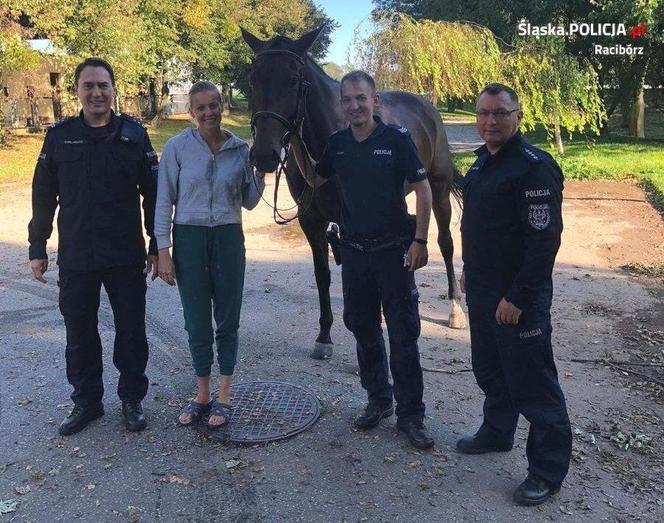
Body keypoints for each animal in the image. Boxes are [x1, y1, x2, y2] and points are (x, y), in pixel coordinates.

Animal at [241, 25, 464, 360]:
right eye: (253, 78)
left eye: (293, 80)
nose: (264, 155)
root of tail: (426, 107)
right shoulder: (311, 220)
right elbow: (323, 274)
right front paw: (324, 336)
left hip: (437, 187)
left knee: (446, 243)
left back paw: (455, 309)